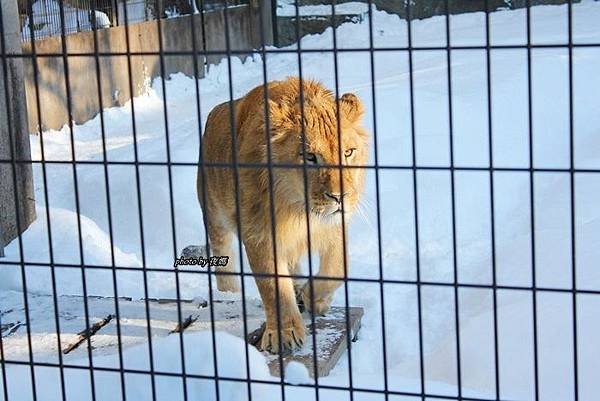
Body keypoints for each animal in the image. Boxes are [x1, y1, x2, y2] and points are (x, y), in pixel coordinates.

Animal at [197, 77, 368, 354]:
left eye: (348, 153)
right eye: (310, 157)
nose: (340, 197)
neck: (298, 210)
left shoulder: (334, 226)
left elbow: (337, 267)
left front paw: (314, 299)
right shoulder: (259, 232)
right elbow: (273, 287)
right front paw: (284, 333)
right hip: (214, 216)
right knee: (223, 257)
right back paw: (229, 296)